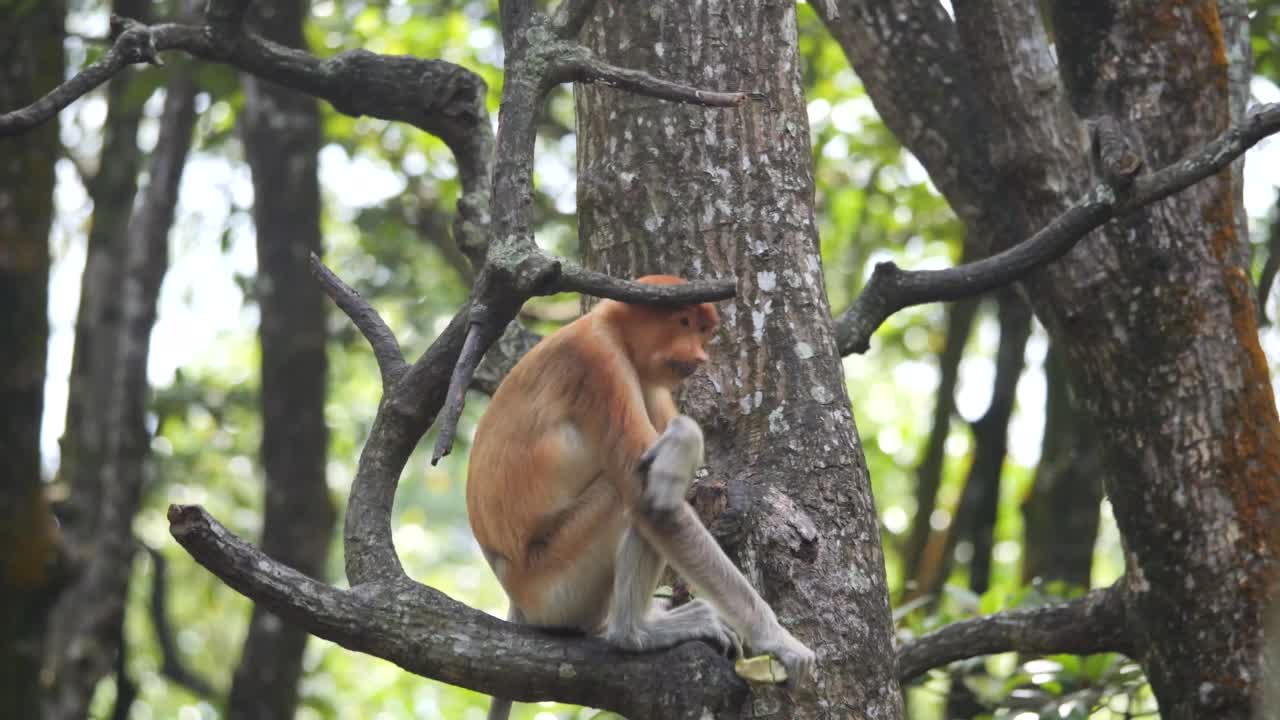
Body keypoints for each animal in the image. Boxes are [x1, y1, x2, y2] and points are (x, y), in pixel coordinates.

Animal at [465, 274, 814, 717]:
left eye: (703, 330)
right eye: (683, 321)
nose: (699, 354)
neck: (610, 327)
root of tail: (517, 596)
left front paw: (683, 440)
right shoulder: (599, 363)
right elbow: (657, 510)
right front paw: (779, 641)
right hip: (556, 585)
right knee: (635, 500)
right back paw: (632, 633)